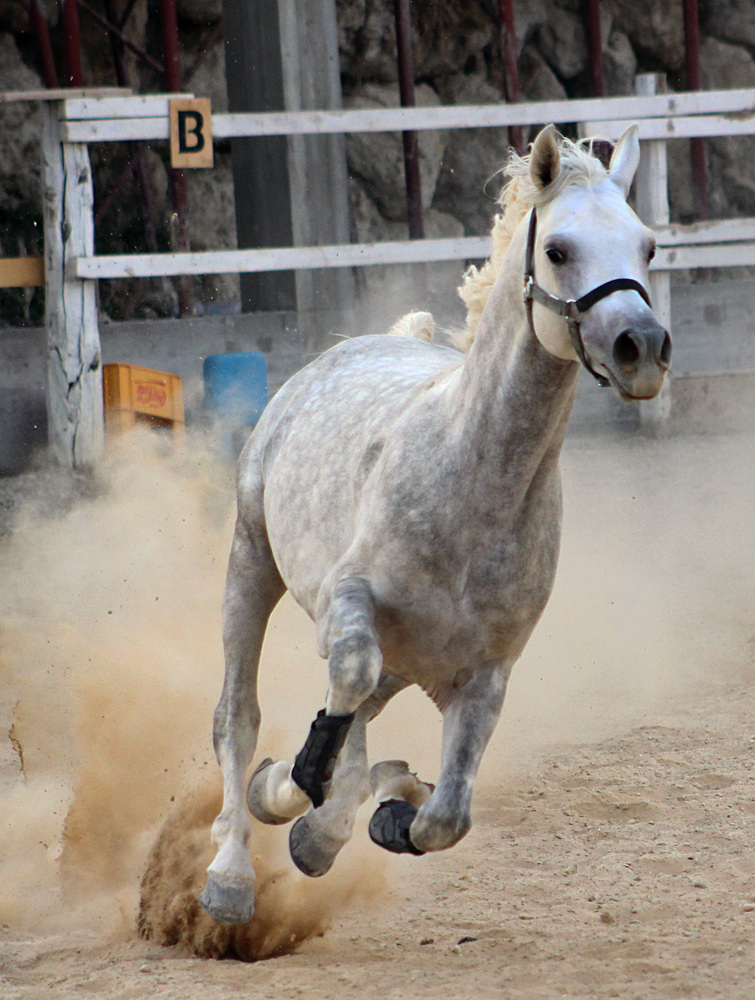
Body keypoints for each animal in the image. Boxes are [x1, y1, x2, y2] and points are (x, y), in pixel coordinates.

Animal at [198, 125, 672, 920]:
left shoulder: (485, 677)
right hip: (250, 563)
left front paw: (385, 814)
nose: (641, 348)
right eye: (557, 249)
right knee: (239, 717)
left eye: (647, 246)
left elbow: (446, 815)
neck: (471, 489)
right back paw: (233, 868)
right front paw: (306, 791)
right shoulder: (347, 602)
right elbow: (339, 697)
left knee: (360, 730)